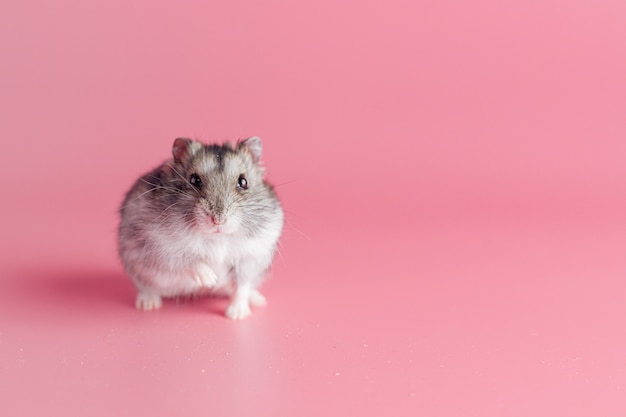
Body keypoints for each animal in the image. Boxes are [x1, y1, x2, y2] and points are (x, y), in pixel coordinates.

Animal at [117, 136, 282, 318]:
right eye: (194, 180)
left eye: (243, 182)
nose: (218, 220)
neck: (217, 237)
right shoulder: (161, 247)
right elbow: (188, 261)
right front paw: (210, 279)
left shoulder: (250, 259)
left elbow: (242, 287)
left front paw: (236, 315)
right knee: (147, 288)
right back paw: (148, 304)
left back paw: (258, 300)